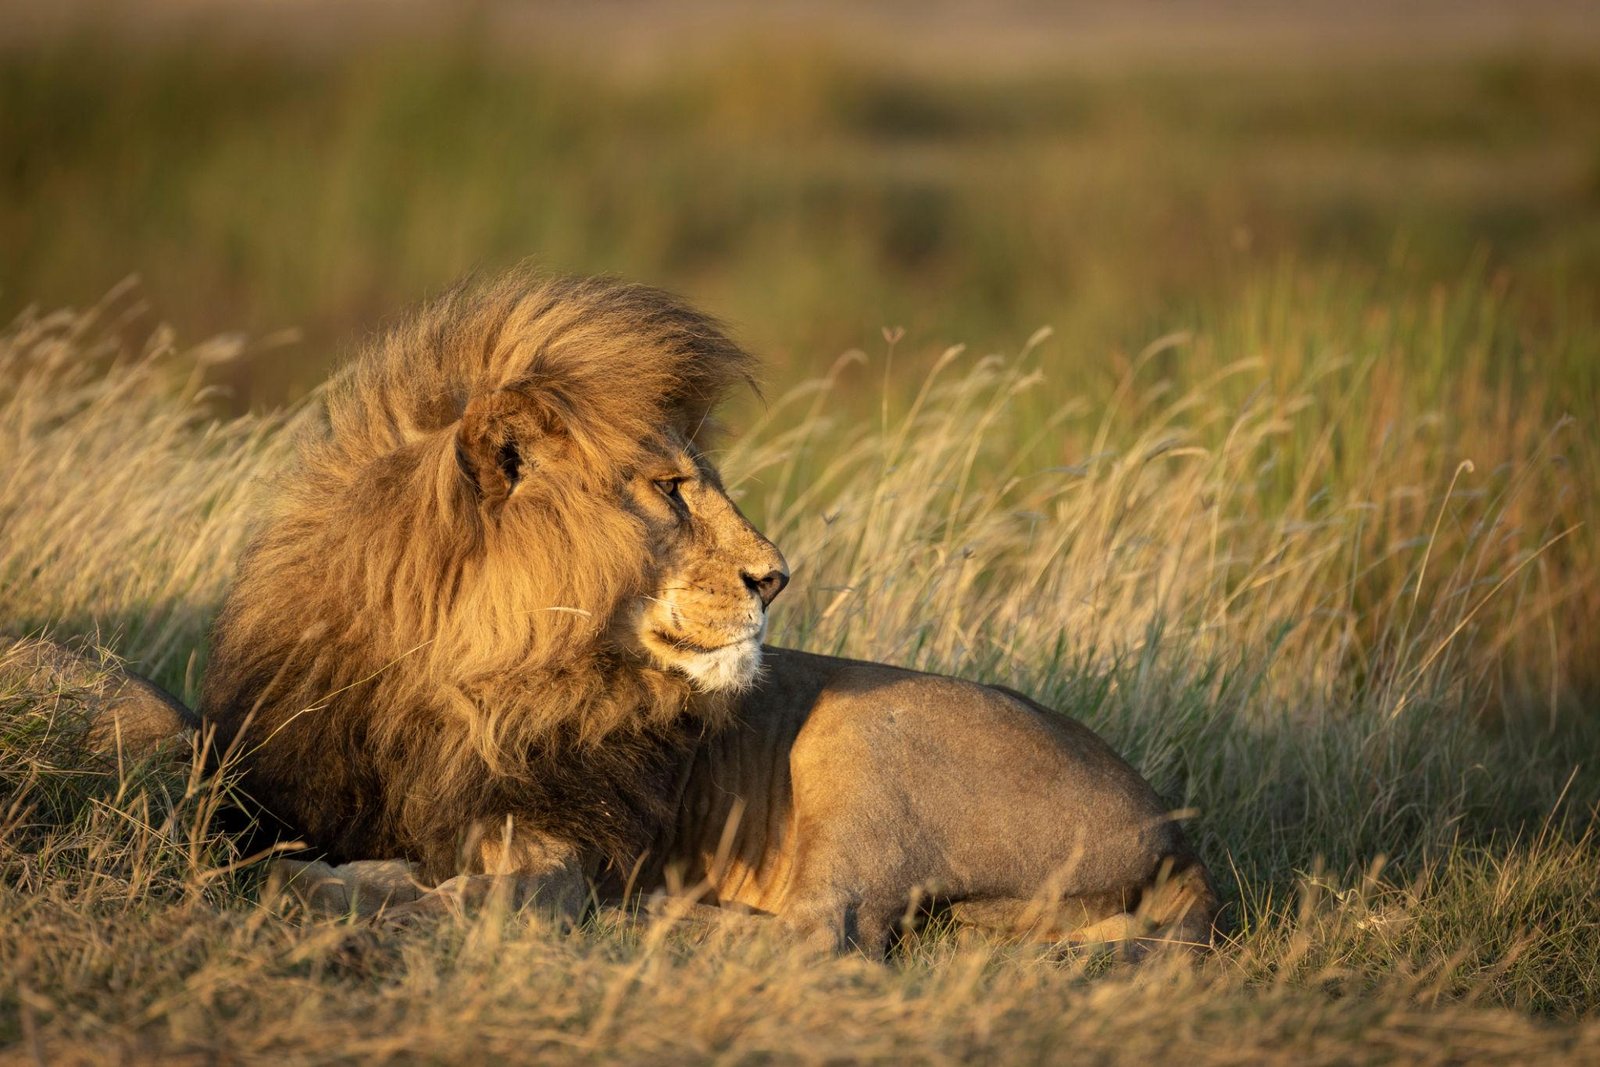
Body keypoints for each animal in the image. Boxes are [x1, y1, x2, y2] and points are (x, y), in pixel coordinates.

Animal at [203, 269, 1219, 956]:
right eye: (669, 489)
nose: (777, 577)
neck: (455, 676)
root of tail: (1176, 832)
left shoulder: (563, 850)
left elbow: (483, 898)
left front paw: (337, 889)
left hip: (863, 738)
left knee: (833, 934)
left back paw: (666, 917)